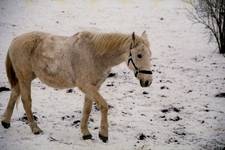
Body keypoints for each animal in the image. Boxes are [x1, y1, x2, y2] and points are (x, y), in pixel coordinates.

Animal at [0, 30, 152, 142]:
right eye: (139, 55)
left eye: (150, 55)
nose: (148, 82)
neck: (95, 54)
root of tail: (15, 40)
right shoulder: (85, 85)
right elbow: (104, 106)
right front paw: (103, 134)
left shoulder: (94, 87)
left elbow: (87, 109)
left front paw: (86, 133)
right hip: (25, 78)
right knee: (26, 101)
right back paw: (35, 129)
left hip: (25, 78)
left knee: (14, 93)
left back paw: (5, 122)